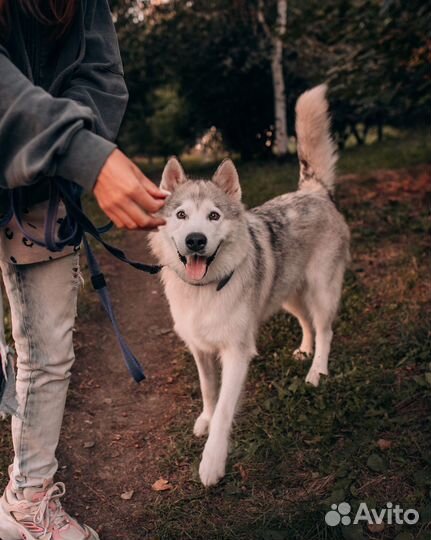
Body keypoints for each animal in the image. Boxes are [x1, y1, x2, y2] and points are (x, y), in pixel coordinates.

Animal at [150, 85, 352, 490]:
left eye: (214, 216)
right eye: (181, 215)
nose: (195, 240)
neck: (204, 291)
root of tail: (313, 191)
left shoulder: (236, 354)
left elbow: (226, 409)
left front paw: (212, 462)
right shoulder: (200, 350)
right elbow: (208, 391)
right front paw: (205, 418)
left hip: (321, 291)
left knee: (325, 329)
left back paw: (316, 371)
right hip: (288, 296)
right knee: (306, 323)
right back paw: (304, 352)